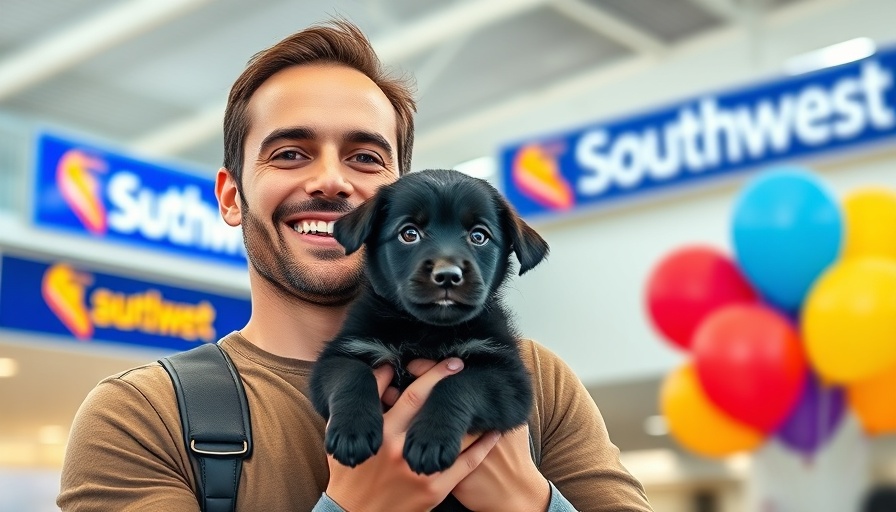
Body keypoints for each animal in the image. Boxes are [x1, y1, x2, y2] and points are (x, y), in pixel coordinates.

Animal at [306, 170, 544, 478]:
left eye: (479, 236)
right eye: (409, 233)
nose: (447, 275)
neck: (426, 331)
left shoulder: (509, 379)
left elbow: (459, 382)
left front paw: (431, 439)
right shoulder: (344, 352)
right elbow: (352, 374)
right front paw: (352, 432)